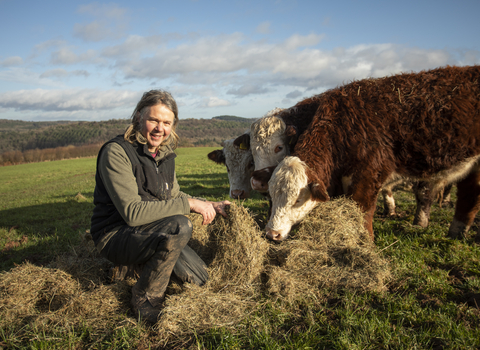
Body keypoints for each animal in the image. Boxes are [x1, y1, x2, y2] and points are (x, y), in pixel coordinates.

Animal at [266, 65, 480, 241]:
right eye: (272, 196)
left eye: (298, 199)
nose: (272, 233)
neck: (344, 128)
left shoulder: (367, 177)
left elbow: (362, 212)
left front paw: (365, 242)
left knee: (470, 193)